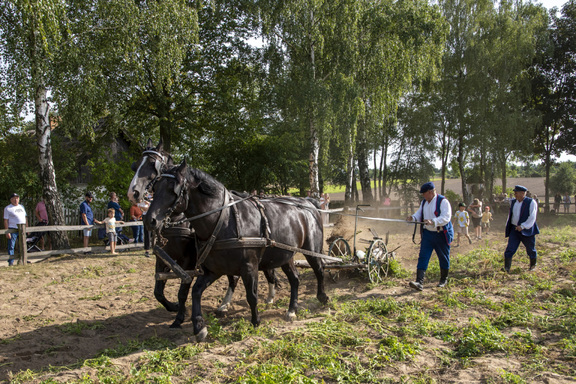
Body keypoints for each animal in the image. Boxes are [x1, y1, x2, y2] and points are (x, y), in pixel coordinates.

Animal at [144, 160, 328, 340]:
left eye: (172, 188)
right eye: (155, 187)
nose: (149, 220)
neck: (223, 221)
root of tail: (307, 202)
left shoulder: (249, 267)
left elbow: (251, 296)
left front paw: (255, 322)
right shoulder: (213, 270)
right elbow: (195, 292)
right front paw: (199, 326)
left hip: (311, 249)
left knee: (319, 270)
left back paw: (323, 298)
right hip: (285, 255)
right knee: (295, 279)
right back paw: (291, 310)